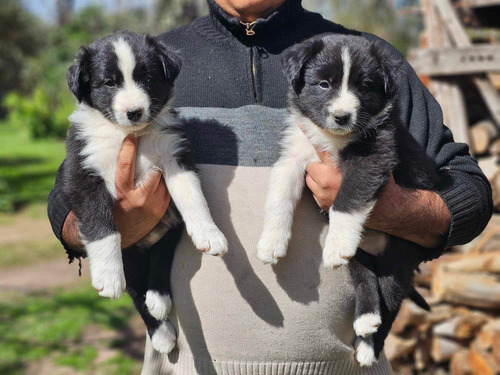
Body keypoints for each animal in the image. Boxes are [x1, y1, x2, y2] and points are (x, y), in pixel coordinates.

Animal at [59, 31, 228, 356]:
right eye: (108, 82)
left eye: (147, 79)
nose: (134, 112)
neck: (131, 135)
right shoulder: (83, 173)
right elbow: (101, 226)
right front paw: (108, 277)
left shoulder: (175, 156)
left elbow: (193, 199)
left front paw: (210, 234)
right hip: (131, 251)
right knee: (136, 288)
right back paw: (160, 332)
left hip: (168, 229)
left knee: (161, 260)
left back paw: (159, 300)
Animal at [258, 34, 438, 368]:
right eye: (323, 84)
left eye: (364, 85)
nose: (342, 117)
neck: (334, 137)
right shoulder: (294, 154)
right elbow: (279, 196)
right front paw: (271, 242)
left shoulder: (373, 155)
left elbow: (346, 199)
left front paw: (337, 242)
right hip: (360, 256)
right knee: (365, 280)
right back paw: (365, 317)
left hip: (400, 256)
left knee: (391, 301)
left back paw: (368, 346)